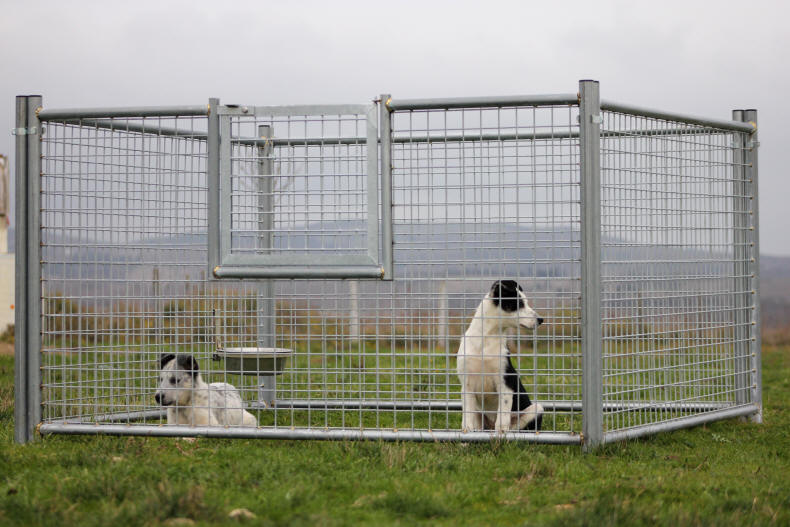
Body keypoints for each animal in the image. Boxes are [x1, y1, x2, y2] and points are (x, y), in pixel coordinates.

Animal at [458, 280, 544, 434]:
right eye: (519, 303)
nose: (541, 319)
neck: (486, 340)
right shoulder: (467, 385)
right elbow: (467, 419)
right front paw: (465, 436)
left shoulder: (505, 382)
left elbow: (502, 417)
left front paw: (501, 435)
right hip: (479, 414)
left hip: (536, 409)